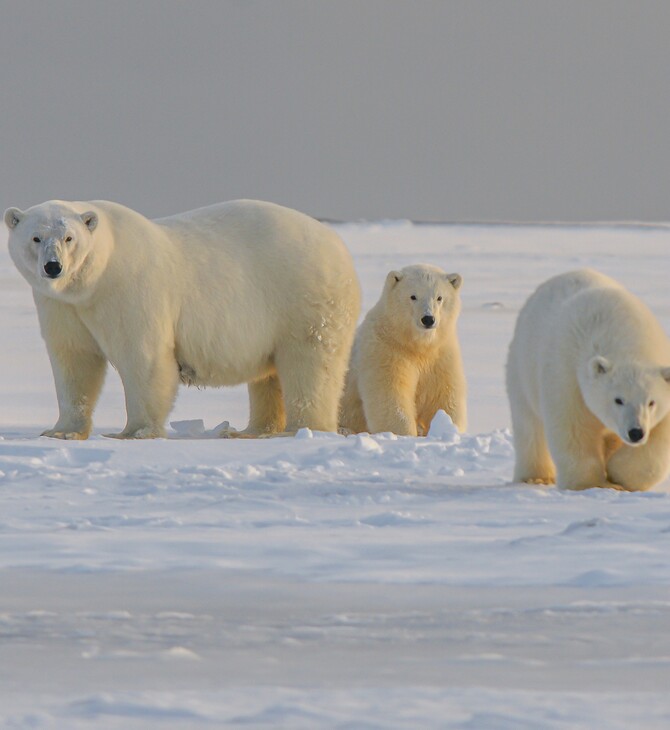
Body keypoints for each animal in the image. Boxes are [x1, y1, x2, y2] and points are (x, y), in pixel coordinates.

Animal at [5, 198, 362, 438]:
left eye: (69, 238)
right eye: (35, 237)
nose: (53, 267)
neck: (94, 280)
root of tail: (338, 246)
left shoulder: (130, 289)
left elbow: (143, 357)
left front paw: (134, 432)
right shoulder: (62, 305)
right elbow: (74, 360)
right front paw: (61, 431)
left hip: (303, 297)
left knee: (310, 364)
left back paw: (303, 429)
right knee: (269, 375)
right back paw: (252, 430)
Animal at [342, 262, 468, 432]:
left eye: (439, 297)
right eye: (413, 296)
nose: (428, 319)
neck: (415, 344)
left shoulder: (441, 354)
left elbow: (443, 396)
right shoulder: (386, 351)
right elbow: (390, 396)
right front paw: (405, 432)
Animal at [506, 270, 670, 492]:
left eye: (651, 402)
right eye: (618, 400)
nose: (636, 432)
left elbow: (659, 439)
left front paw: (618, 475)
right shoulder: (567, 374)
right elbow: (573, 428)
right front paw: (591, 484)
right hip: (522, 369)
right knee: (529, 426)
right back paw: (535, 477)